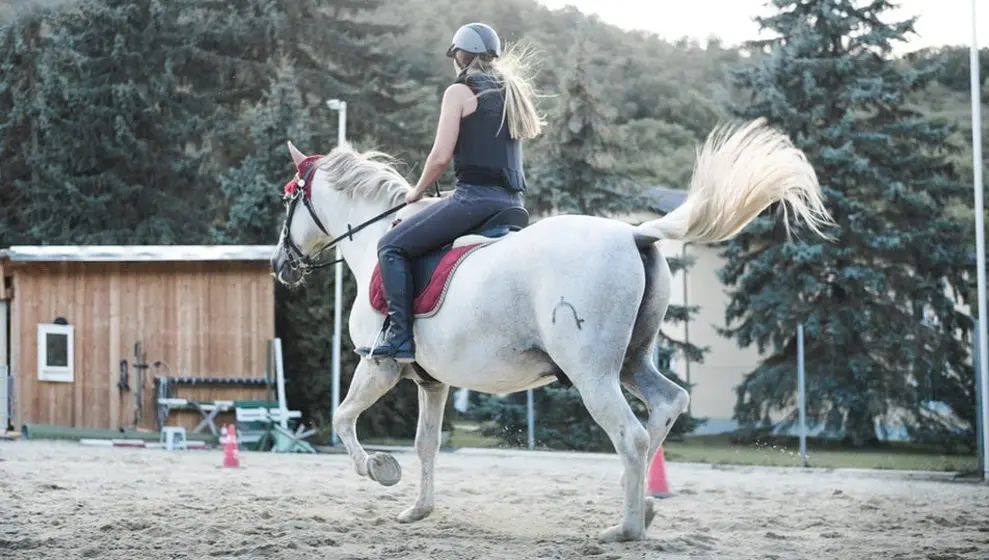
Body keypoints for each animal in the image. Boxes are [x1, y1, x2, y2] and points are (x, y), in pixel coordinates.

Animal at [269, 117, 835, 543]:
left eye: (288, 200)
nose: (280, 265)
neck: (374, 243)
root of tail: (634, 232)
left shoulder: (379, 364)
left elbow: (343, 419)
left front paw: (379, 470)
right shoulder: (433, 383)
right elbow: (426, 444)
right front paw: (418, 510)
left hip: (593, 374)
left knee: (631, 435)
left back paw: (625, 529)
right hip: (632, 362)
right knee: (667, 405)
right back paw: (643, 506)